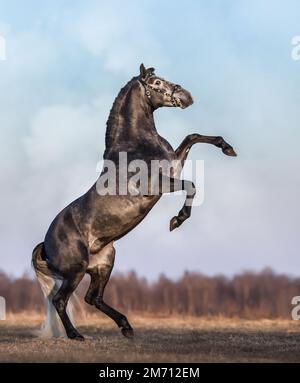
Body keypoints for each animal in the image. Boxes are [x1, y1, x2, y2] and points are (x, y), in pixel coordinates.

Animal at [31, 63, 236, 342]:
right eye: (156, 83)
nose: (187, 96)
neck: (136, 146)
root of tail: (45, 243)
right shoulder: (157, 185)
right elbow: (192, 185)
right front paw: (176, 220)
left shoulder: (174, 165)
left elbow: (192, 137)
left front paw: (227, 147)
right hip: (77, 269)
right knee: (61, 300)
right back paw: (76, 335)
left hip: (104, 263)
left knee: (93, 298)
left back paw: (126, 326)